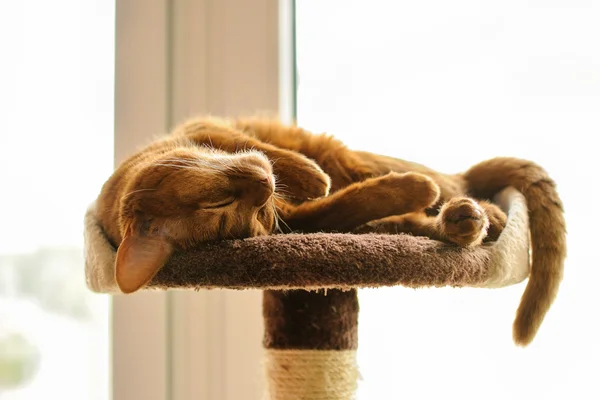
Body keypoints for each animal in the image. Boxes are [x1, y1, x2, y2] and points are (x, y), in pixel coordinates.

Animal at [95, 115, 568, 346]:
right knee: (429, 209)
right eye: (233, 209)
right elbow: (344, 204)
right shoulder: (303, 221)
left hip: (347, 153)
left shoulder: (204, 127)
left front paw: (308, 174)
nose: (265, 187)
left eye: (219, 201)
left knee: (453, 181)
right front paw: (407, 191)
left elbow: (267, 150)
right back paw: (465, 220)